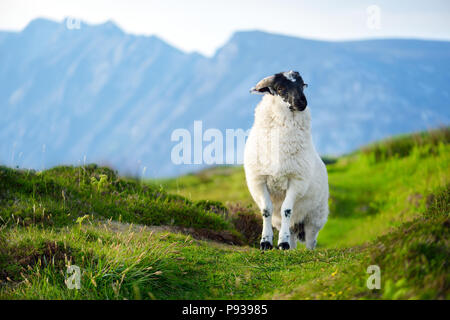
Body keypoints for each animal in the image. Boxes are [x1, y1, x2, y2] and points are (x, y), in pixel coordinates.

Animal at [244, 70, 328, 250]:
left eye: (302, 85)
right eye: (280, 88)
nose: (302, 102)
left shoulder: (296, 181)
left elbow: (286, 210)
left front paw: (282, 242)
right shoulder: (259, 180)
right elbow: (266, 211)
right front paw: (266, 242)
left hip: (315, 215)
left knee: (310, 238)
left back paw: (306, 250)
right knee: (291, 231)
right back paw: (291, 248)